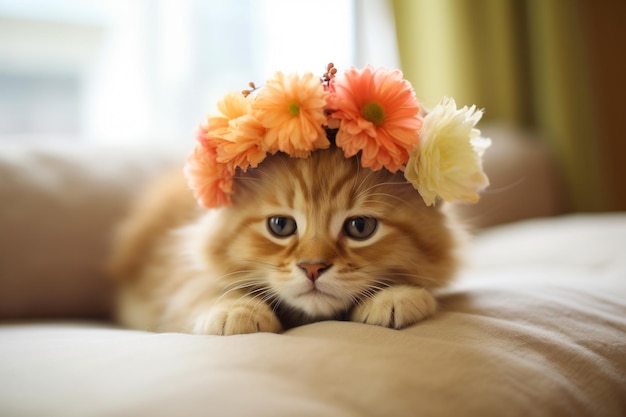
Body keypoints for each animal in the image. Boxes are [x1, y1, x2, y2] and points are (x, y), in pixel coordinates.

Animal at [107, 145, 460, 334]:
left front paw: (395, 296)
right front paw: (235, 311)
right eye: (280, 226)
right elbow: (202, 288)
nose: (313, 268)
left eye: (360, 227)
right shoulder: (177, 268)